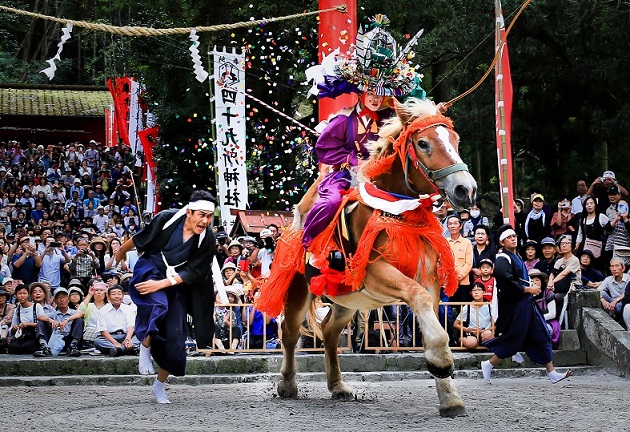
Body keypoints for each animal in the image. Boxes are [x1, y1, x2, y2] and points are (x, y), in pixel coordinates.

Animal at [256, 98, 478, 418]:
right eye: (423, 143)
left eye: (455, 141)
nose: (466, 189)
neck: (398, 211)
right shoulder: (374, 271)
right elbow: (418, 297)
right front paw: (441, 361)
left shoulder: (428, 276)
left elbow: (428, 308)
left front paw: (449, 396)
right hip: (300, 287)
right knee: (290, 332)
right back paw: (287, 384)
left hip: (347, 299)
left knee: (330, 332)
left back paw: (338, 385)